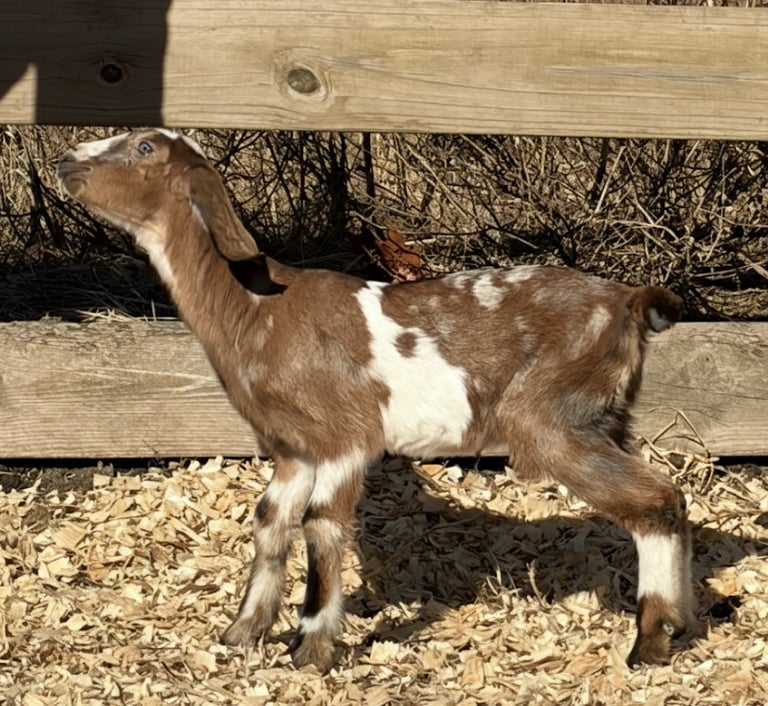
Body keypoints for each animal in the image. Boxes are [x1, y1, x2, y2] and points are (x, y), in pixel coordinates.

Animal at [57, 129, 695, 672]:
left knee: (656, 498)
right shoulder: (293, 448)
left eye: (144, 146)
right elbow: (270, 521)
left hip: (551, 416)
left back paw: (651, 641)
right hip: (602, 414)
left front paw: (311, 649)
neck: (257, 309)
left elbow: (320, 525)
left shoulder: (344, 436)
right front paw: (242, 633)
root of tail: (628, 300)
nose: (67, 161)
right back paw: (680, 623)